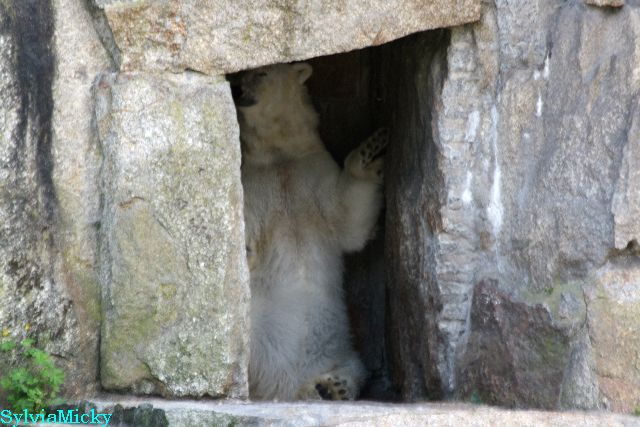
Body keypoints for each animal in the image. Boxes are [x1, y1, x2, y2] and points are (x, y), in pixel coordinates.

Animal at [233, 62, 387, 401]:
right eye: (239, 74)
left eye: (261, 72)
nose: (237, 90)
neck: (278, 152)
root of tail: (281, 389)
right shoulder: (252, 181)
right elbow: (249, 227)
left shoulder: (312, 169)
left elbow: (348, 219)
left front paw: (372, 152)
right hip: (256, 325)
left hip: (339, 350)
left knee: (354, 368)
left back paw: (332, 387)